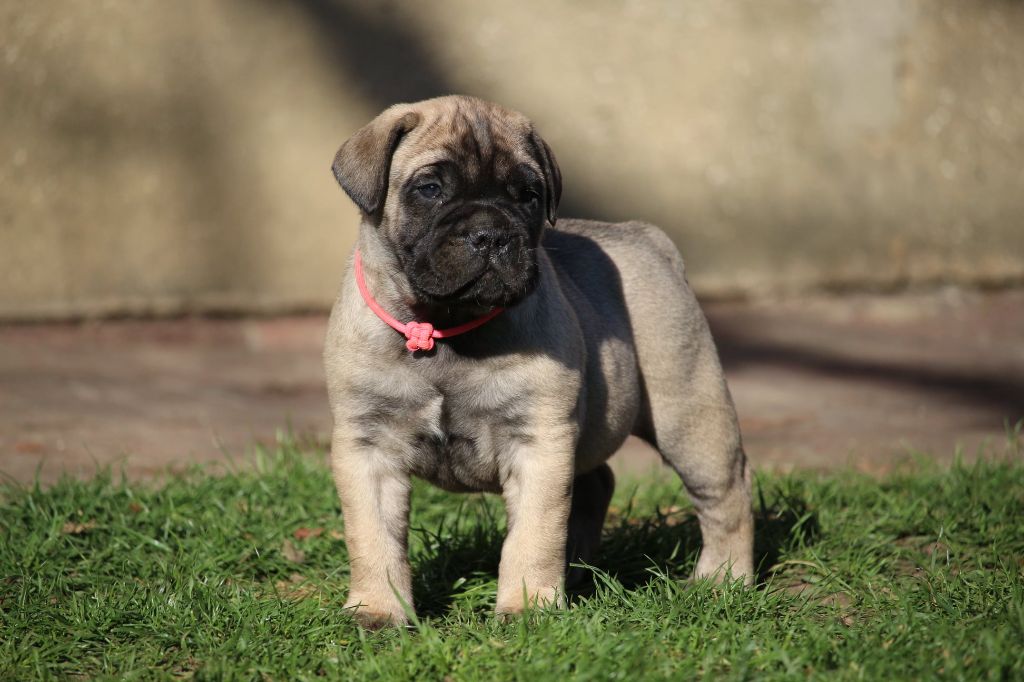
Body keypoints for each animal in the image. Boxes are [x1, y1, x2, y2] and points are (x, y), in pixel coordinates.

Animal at [324, 95, 753, 627]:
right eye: (430, 189)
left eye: (528, 195)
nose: (490, 234)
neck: (444, 328)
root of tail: (646, 237)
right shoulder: (368, 447)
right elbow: (374, 537)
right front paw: (378, 610)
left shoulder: (539, 442)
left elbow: (533, 535)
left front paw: (527, 606)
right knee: (596, 484)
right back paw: (578, 571)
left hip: (690, 417)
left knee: (726, 494)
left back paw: (725, 580)